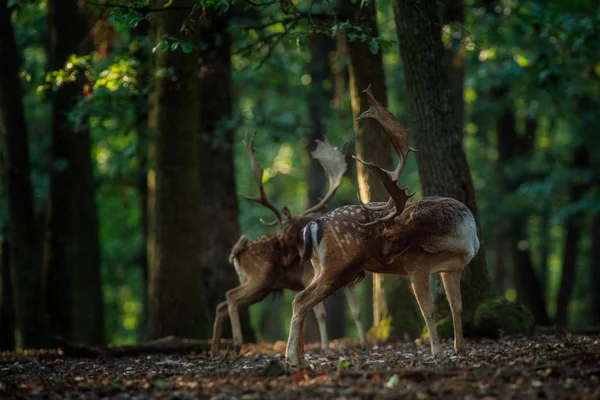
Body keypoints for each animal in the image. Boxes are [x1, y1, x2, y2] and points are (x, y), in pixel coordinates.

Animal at [211, 132, 370, 356]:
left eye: (285, 229)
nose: (286, 259)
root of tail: (237, 252)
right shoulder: (310, 277)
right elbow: (319, 313)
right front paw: (324, 347)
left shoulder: (348, 282)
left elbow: (357, 312)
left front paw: (364, 345)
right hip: (260, 276)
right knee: (230, 296)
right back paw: (236, 343)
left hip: (261, 286)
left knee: (222, 305)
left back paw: (215, 349)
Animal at [286, 86, 482, 368]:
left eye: (388, 230)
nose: (385, 255)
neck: (461, 241)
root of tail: (312, 225)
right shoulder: (417, 266)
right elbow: (428, 310)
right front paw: (438, 352)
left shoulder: (452, 269)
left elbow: (457, 307)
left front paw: (461, 349)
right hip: (339, 264)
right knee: (300, 300)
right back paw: (293, 359)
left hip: (319, 265)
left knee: (304, 302)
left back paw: (301, 359)